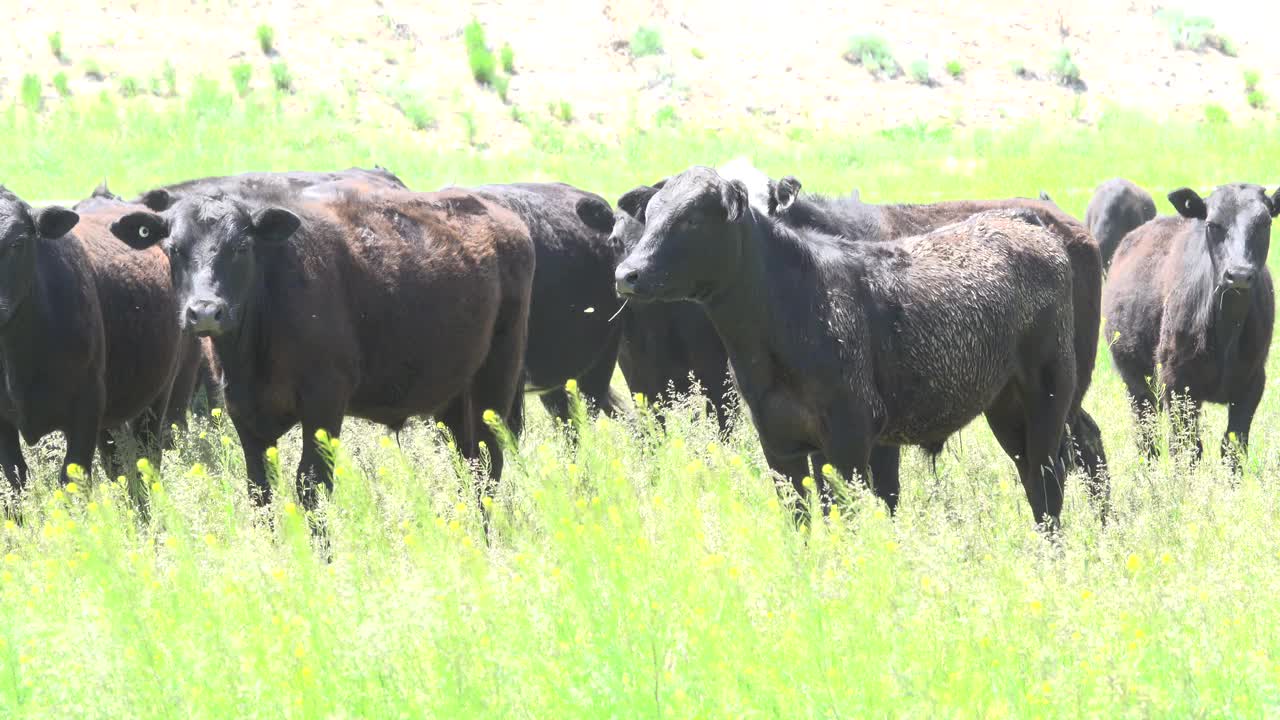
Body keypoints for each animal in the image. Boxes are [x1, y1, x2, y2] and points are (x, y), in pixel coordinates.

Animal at [614, 167, 1075, 527]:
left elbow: (843, 517)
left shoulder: (847, 440)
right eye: (650, 215)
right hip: (1005, 408)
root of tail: (1026, 224)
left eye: (692, 219)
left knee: (1048, 480)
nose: (626, 274)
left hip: (1048, 398)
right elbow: (800, 520)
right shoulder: (780, 444)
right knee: (1033, 477)